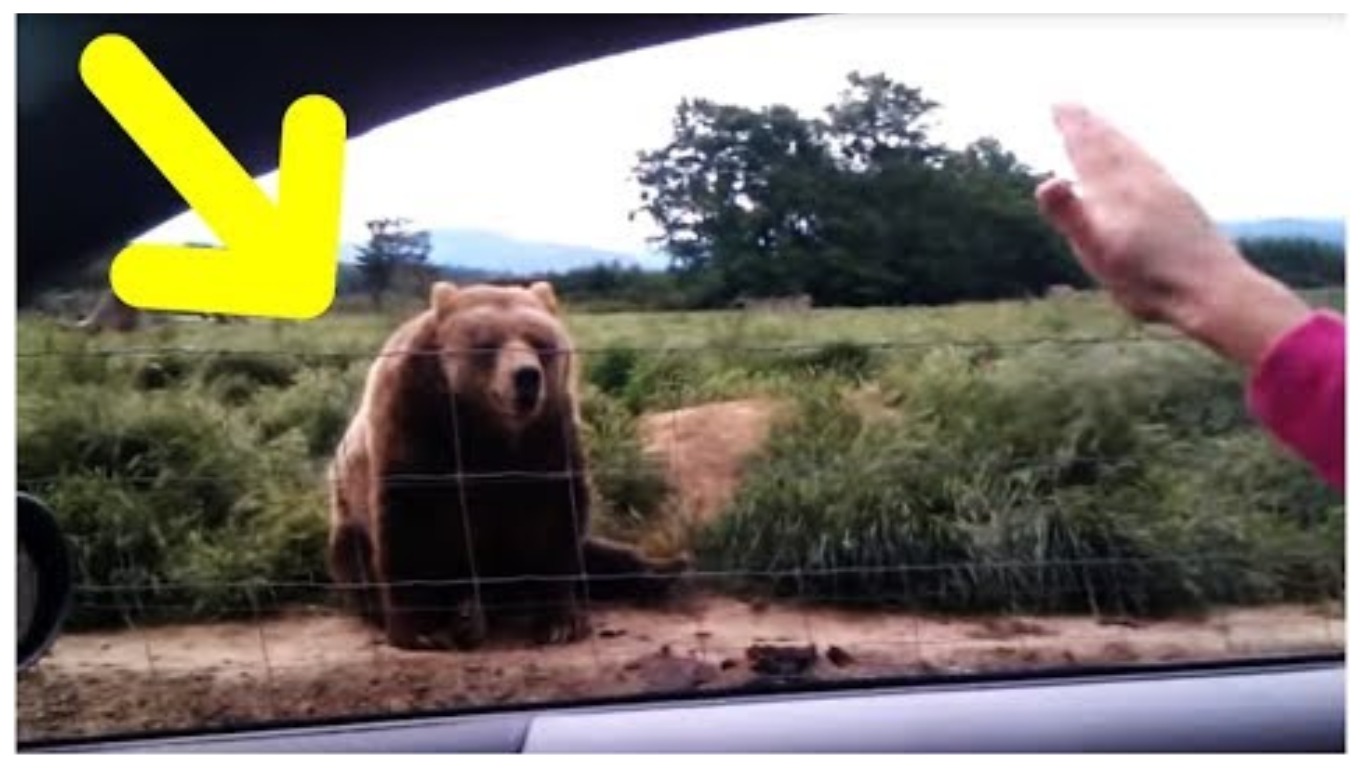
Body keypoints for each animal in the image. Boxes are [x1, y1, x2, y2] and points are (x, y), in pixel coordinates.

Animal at [326, 277, 688, 647]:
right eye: (486, 343)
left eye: (540, 342)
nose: (526, 376)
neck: (489, 427)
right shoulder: (416, 424)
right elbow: (413, 523)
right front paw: (426, 631)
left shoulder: (546, 434)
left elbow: (553, 520)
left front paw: (560, 622)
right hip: (347, 521)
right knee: (354, 560)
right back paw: (465, 614)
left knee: (598, 554)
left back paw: (668, 569)